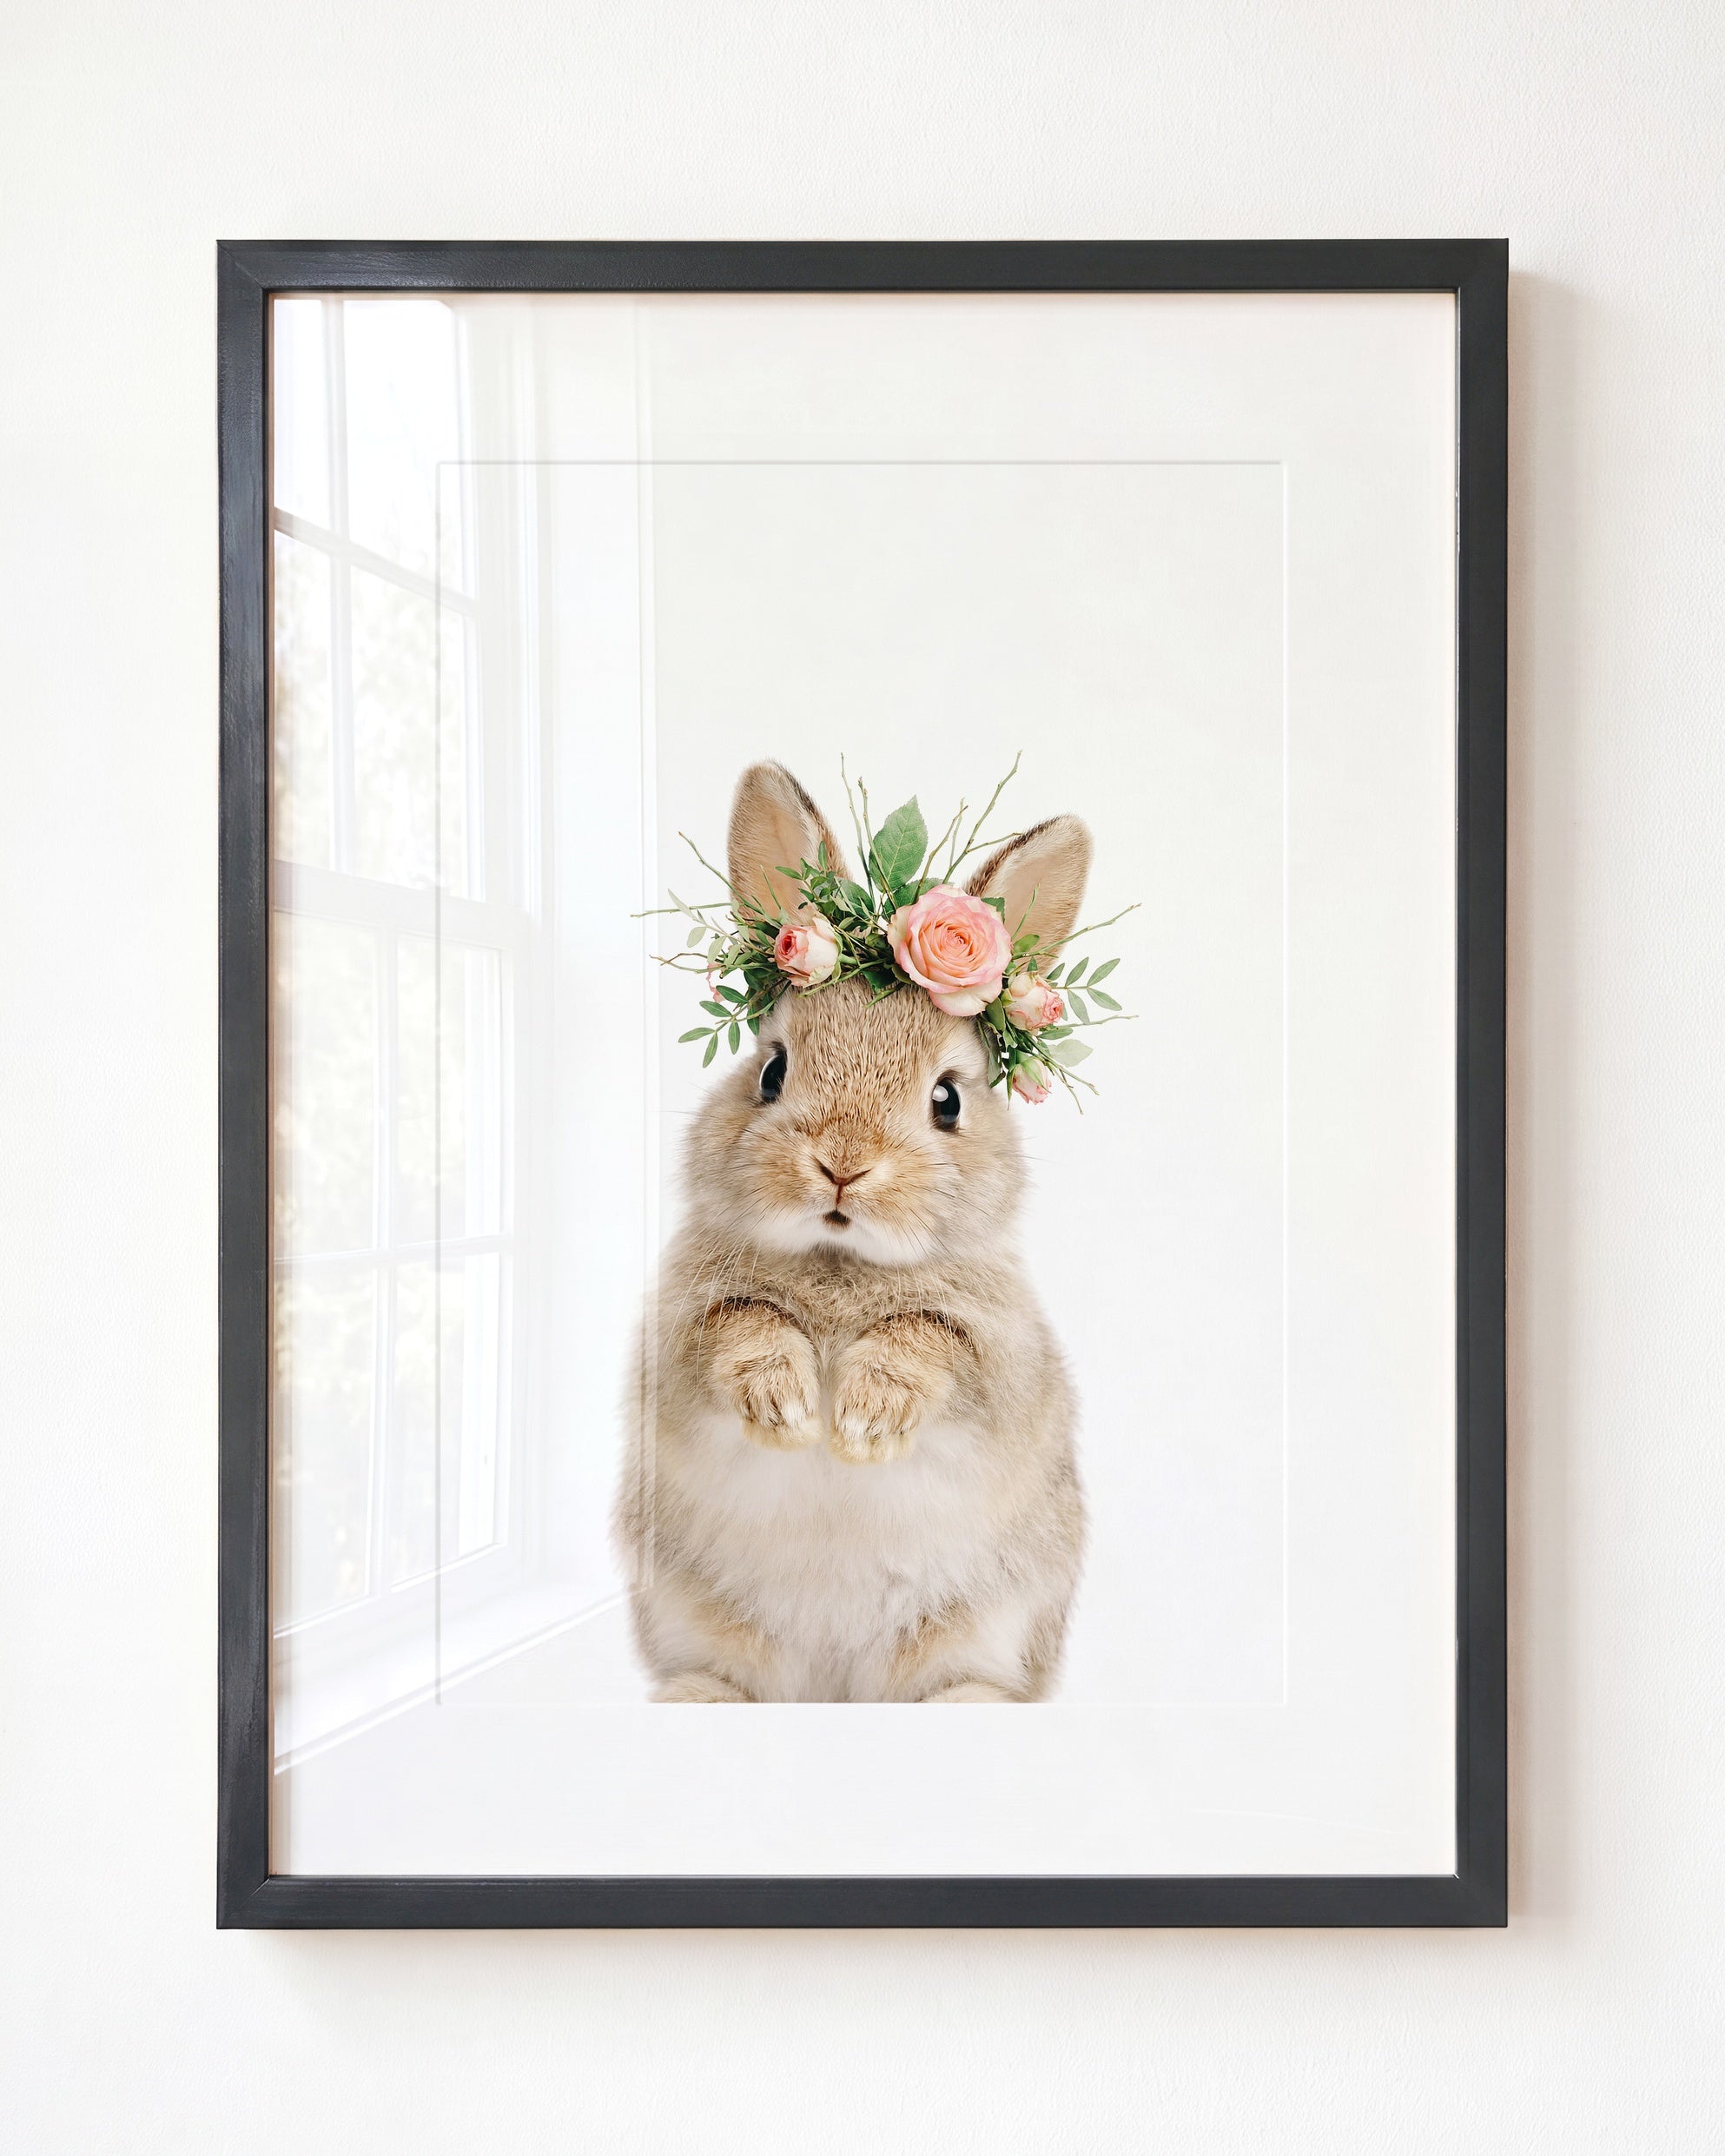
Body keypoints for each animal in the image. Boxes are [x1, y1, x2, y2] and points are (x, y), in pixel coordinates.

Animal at [616, 761, 1088, 1702]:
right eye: (770, 1070)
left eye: (947, 1099)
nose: (842, 1165)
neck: (839, 1260)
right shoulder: (679, 1340)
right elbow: (741, 1325)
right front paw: (788, 1407)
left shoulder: (1002, 1361)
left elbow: (931, 1339)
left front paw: (864, 1421)